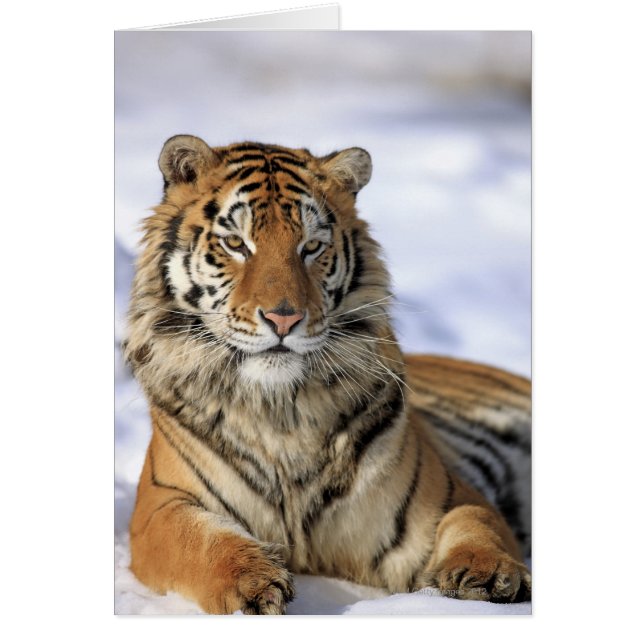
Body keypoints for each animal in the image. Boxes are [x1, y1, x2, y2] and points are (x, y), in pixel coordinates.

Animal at [123, 135, 532, 615]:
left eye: (312, 246)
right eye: (236, 243)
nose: (283, 318)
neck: (281, 412)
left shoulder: (448, 496)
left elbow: (475, 521)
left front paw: (488, 574)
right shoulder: (160, 505)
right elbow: (198, 540)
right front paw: (251, 582)